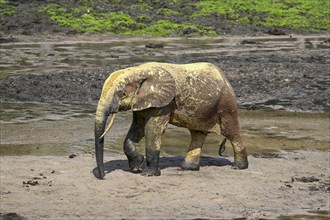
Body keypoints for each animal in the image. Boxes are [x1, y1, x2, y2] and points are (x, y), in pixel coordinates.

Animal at [94, 61, 249, 179]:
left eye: (121, 94)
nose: (103, 177)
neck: (139, 70)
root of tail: (225, 78)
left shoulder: (164, 102)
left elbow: (152, 129)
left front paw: (148, 174)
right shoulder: (143, 102)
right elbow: (138, 127)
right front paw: (137, 166)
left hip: (226, 105)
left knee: (231, 133)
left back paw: (238, 167)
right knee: (197, 134)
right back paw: (187, 168)